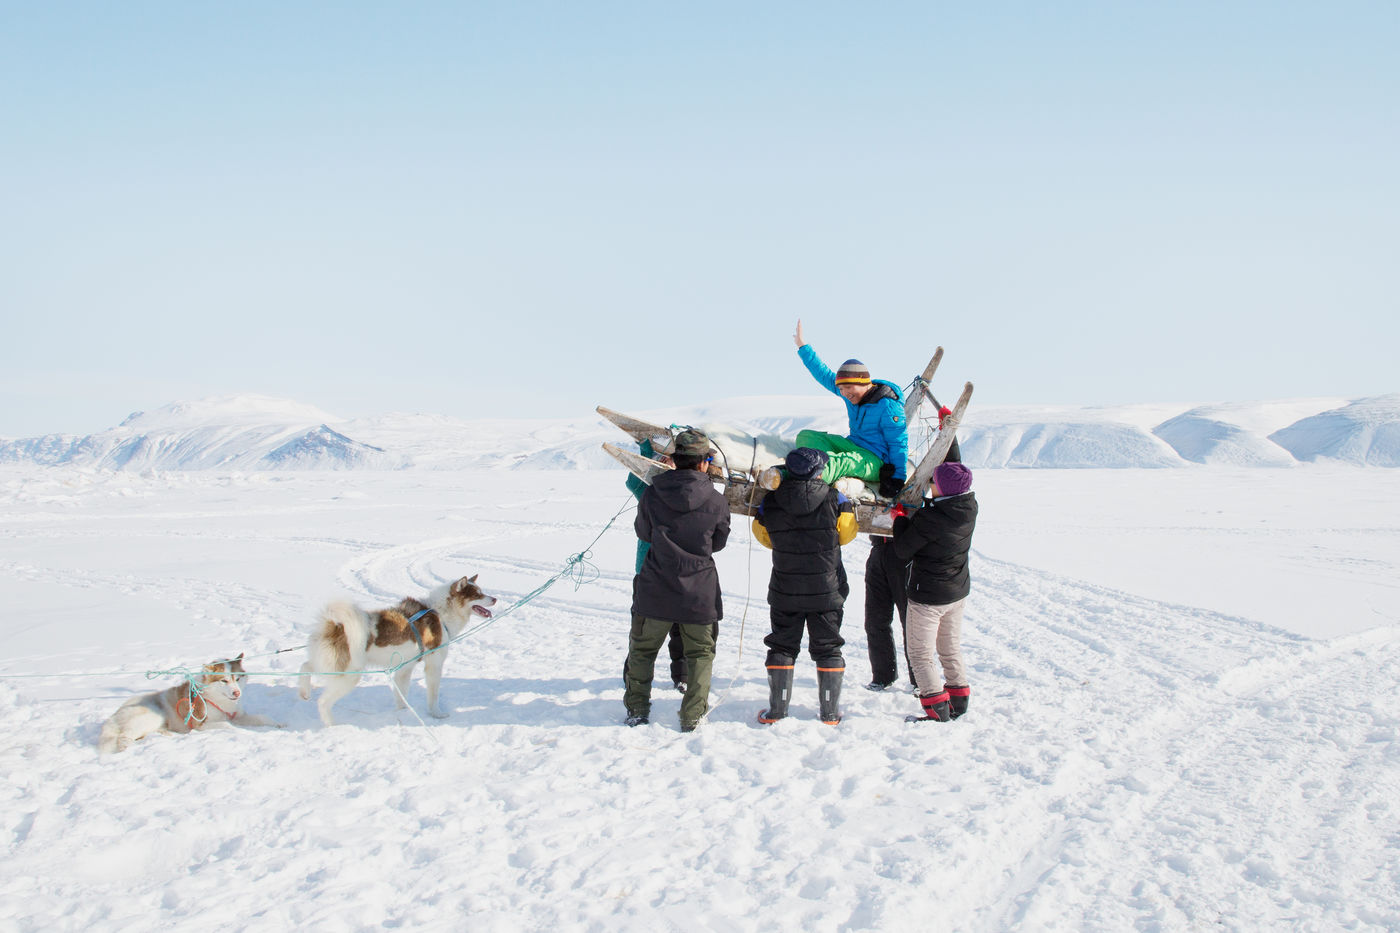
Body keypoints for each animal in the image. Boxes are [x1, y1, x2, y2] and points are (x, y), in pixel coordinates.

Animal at [97, 654, 281, 754]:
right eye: (224, 680)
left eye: (237, 678)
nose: (237, 693)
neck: (218, 699)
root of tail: (114, 715)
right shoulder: (200, 725)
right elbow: (227, 725)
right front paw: (241, 731)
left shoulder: (238, 715)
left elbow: (261, 718)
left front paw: (277, 723)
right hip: (151, 717)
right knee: (124, 736)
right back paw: (126, 747)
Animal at [297, 574, 497, 726]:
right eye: (478, 594)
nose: (495, 598)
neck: (441, 613)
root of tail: (335, 626)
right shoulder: (434, 665)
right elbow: (433, 695)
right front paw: (436, 714)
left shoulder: (404, 668)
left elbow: (401, 695)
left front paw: (403, 712)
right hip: (349, 676)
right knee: (323, 702)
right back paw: (332, 724)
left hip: (329, 665)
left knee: (305, 666)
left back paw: (304, 692)